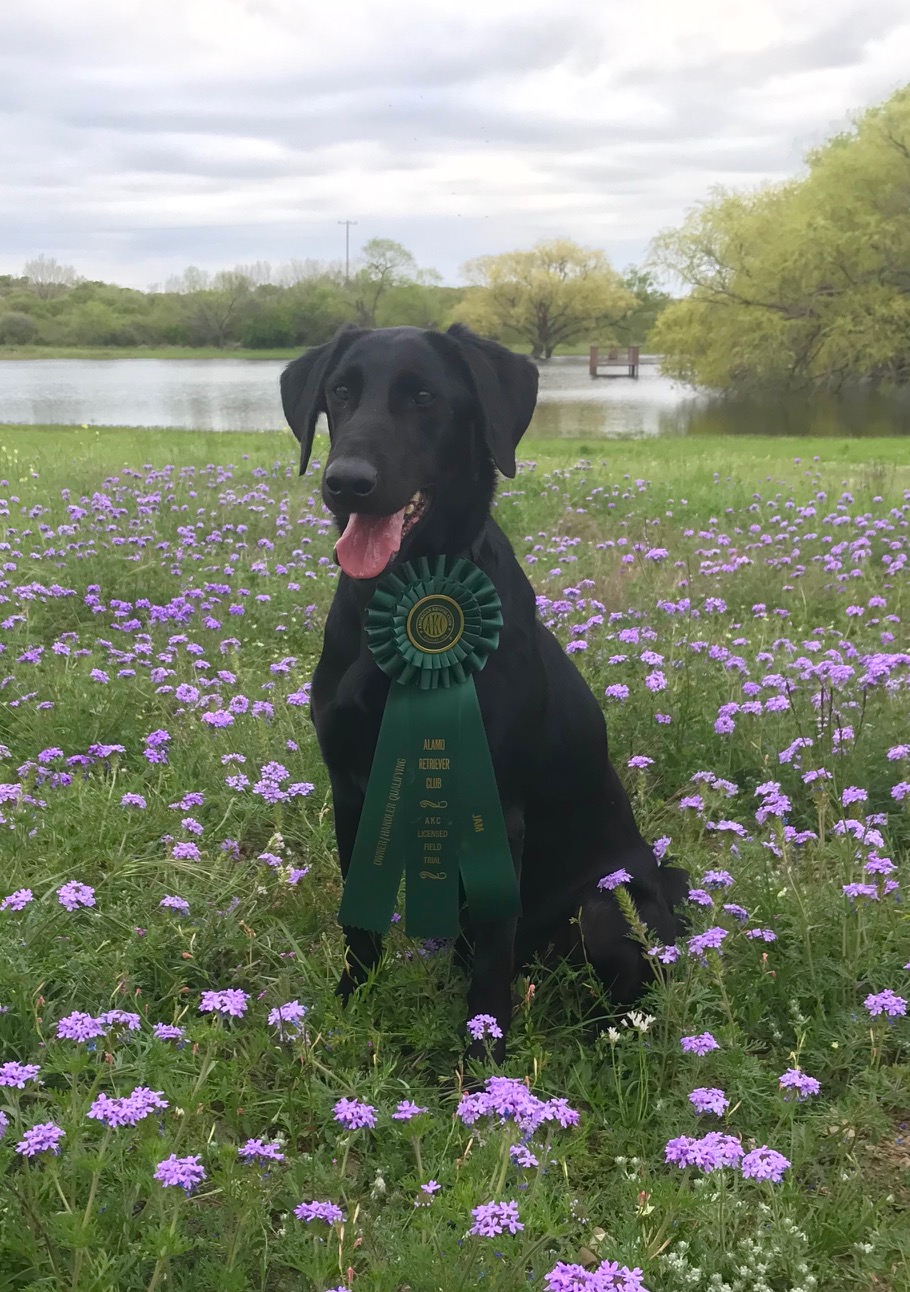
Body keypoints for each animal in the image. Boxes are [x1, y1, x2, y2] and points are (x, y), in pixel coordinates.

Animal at [280, 325, 687, 1059]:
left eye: (423, 397)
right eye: (341, 393)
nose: (345, 483)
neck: (408, 592)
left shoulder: (499, 809)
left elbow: (493, 959)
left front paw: (484, 1061)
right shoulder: (352, 789)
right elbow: (359, 924)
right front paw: (348, 1010)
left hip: (603, 903)